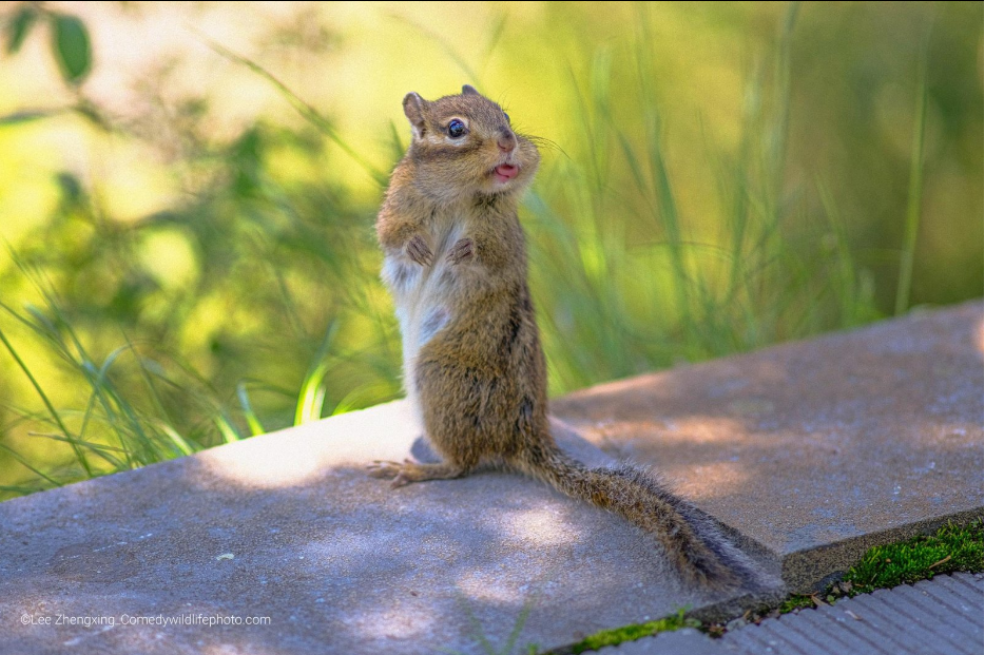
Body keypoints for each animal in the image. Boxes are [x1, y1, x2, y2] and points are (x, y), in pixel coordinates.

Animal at [369, 85, 757, 591]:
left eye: (505, 114)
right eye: (455, 128)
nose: (509, 142)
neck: (461, 194)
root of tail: (524, 436)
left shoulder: (504, 232)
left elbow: (492, 255)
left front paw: (463, 251)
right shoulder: (398, 203)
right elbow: (391, 235)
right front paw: (418, 246)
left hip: (438, 379)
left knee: (464, 464)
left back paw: (418, 468)